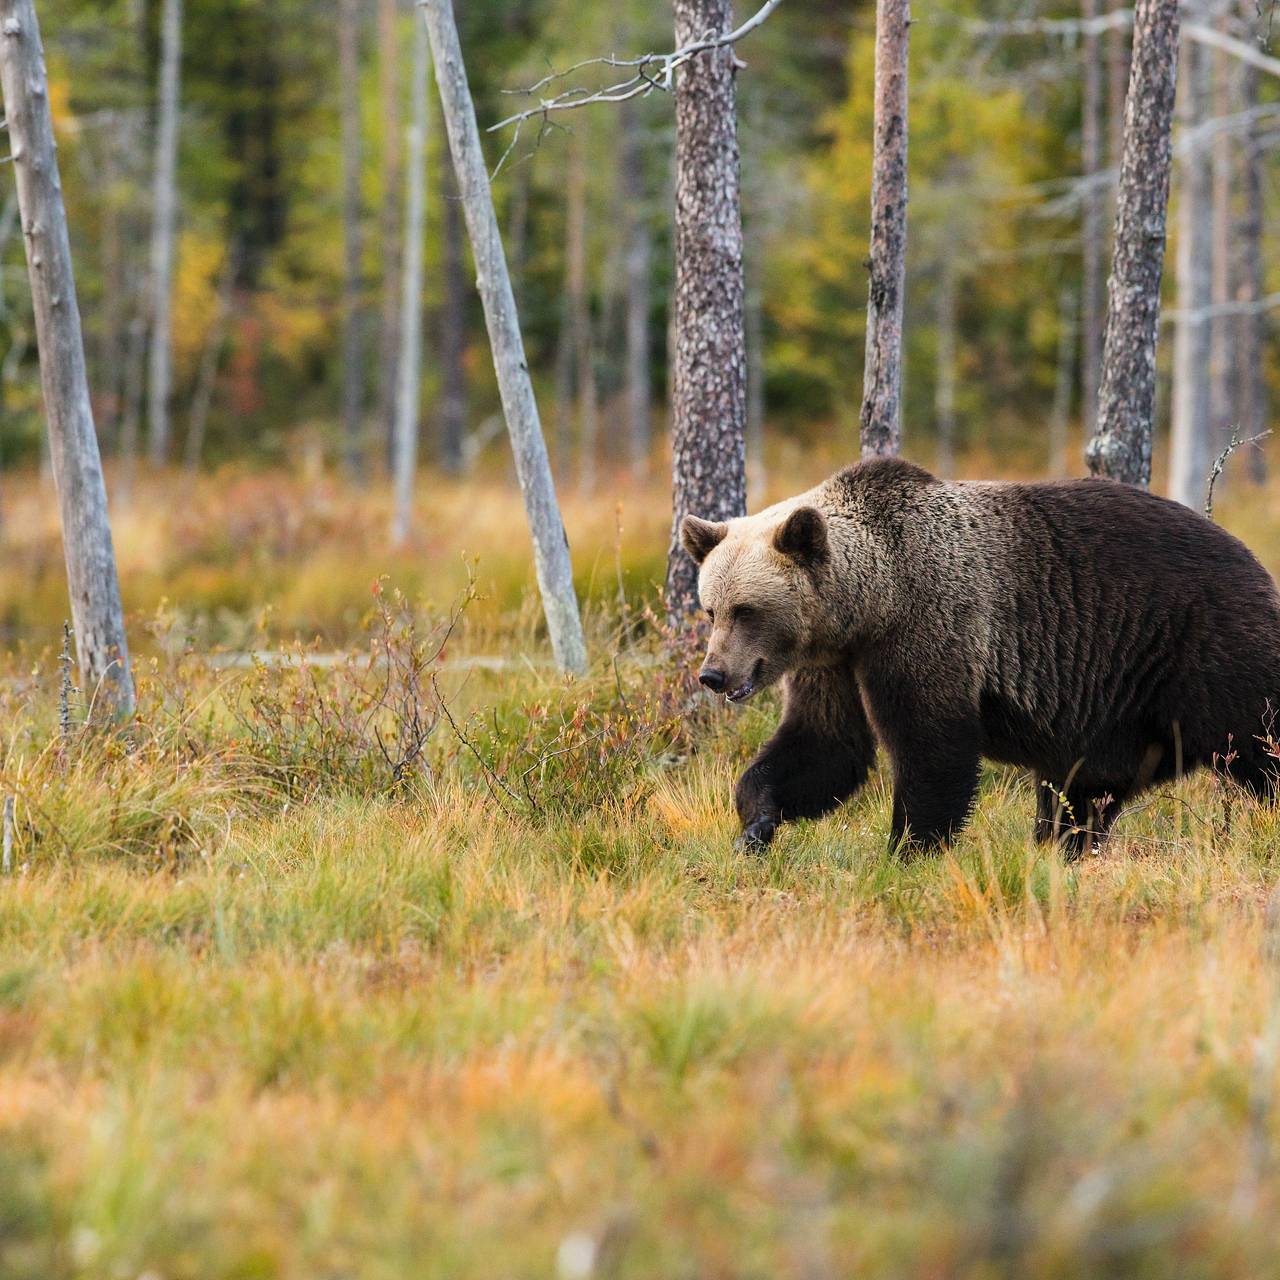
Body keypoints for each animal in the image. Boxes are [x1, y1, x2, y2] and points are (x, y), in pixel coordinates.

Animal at [686, 455, 1280, 855]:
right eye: (711, 609)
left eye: (746, 609)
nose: (713, 674)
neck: (870, 603)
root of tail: (1253, 560)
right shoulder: (833, 663)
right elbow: (825, 745)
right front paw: (756, 825)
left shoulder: (930, 625)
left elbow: (933, 747)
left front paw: (908, 849)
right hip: (1117, 711)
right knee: (1081, 792)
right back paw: (1063, 847)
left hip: (1202, 649)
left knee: (1259, 741)